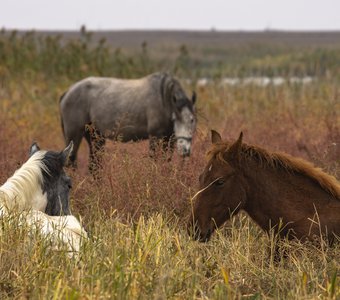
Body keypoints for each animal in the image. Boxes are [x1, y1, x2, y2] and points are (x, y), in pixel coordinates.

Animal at [59, 71, 197, 170]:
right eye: (175, 119)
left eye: (192, 120)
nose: (185, 151)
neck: (164, 99)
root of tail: (67, 92)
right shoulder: (155, 137)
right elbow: (154, 161)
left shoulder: (169, 139)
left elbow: (165, 162)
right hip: (75, 135)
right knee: (71, 163)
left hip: (95, 137)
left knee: (94, 166)